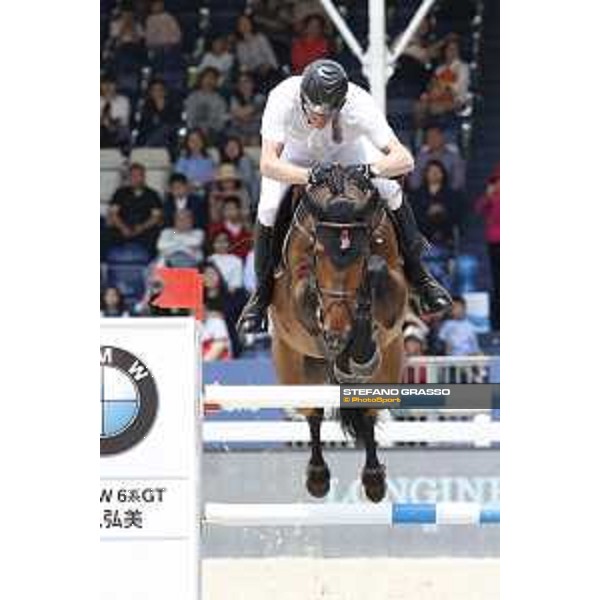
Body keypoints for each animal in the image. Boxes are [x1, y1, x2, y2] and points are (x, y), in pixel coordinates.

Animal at [269, 164, 409, 502]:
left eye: (360, 253)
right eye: (318, 251)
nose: (336, 330)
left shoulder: (395, 292)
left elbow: (378, 269)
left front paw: (358, 347)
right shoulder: (296, 291)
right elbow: (307, 289)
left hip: (389, 365)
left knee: (368, 411)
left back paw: (374, 480)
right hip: (293, 366)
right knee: (313, 414)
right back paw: (317, 477)